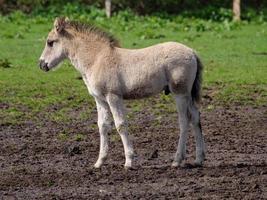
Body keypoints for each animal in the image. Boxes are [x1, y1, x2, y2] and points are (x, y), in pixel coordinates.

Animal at [38, 17, 206, 168]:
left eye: (50, 42)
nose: (41, 64)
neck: (96, 59)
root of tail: (192, 52)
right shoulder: (100, 99)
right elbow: (103, 126)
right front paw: (99, 162)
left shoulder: (113, 97)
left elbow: (120, 125)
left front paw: (129, 161)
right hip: (188, 95)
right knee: (196, 118)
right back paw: (199, 159)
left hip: (180, 93)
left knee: (184, 121)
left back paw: (177, 160)